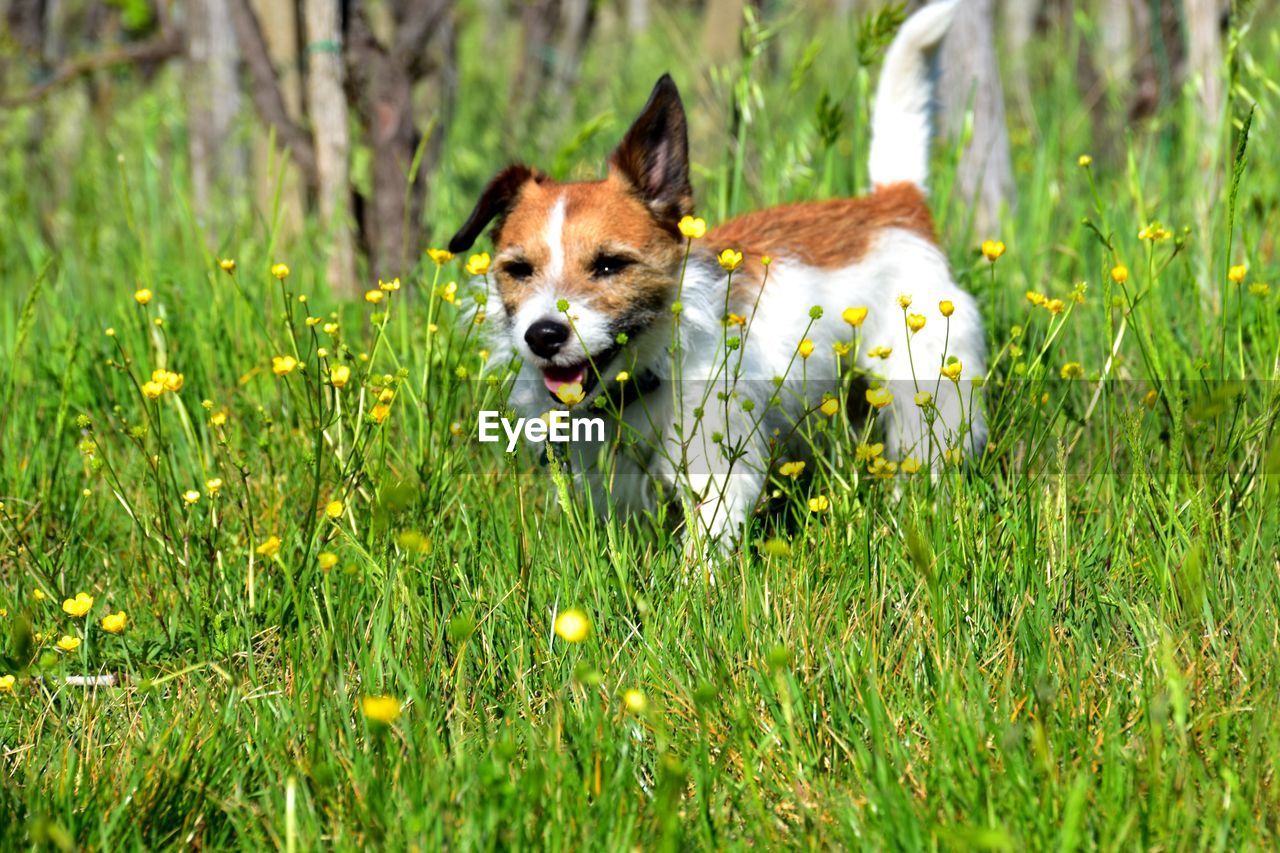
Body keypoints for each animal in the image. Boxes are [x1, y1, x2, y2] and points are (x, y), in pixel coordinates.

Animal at [450, 0, 988, 548]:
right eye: (518, 270)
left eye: (609, 265)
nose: (543, 335)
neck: (649, 370)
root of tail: (893, 202)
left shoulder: (719, 475)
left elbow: (704, 549)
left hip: (925, 386)